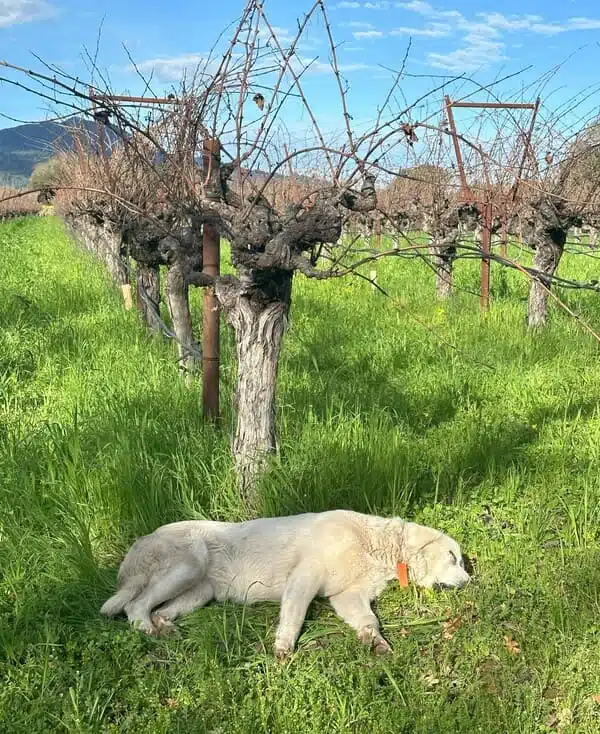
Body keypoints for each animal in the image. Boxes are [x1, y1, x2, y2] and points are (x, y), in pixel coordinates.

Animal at [102, 512, 468, 660]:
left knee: (159, 609)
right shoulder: (305, 577)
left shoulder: (348, 596)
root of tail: (139, 543)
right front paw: (283, 649)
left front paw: (375, 642)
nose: (468, 581)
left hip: (200, 591)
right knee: (134, 605)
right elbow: (292, 618)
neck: (375, 544)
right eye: (453, 557)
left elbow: (369, 620)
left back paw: (164, 627)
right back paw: (146, 629)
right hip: (189, 563)